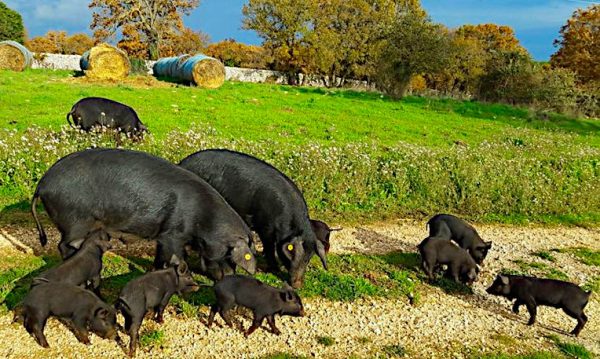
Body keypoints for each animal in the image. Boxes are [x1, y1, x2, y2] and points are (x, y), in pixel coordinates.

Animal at [178, 150, 328, 290]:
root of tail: (182, 163)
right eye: (297, 255)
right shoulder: (266, 228)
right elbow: (269, 247)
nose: (298, 285)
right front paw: (274, 269)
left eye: (308, 259)